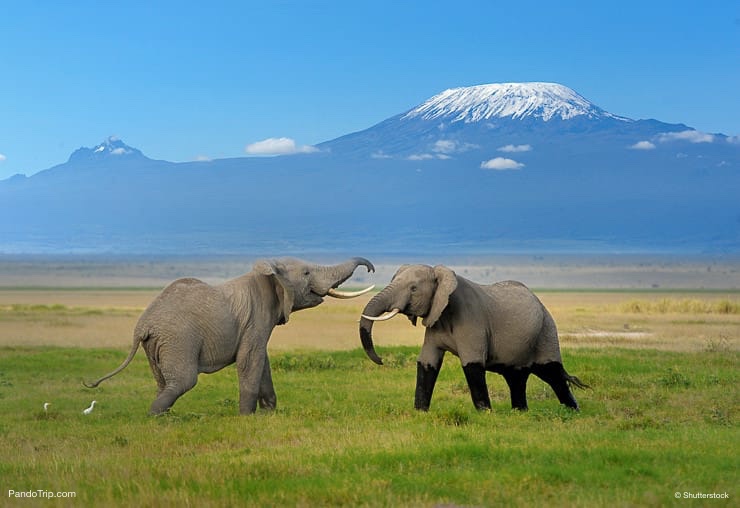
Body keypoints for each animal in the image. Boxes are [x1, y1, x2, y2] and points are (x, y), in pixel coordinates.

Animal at [86, 256, 376, 414]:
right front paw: (247, 417)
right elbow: (251, 361)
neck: (267, 273)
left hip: (157, 345)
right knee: (184, 381)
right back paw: (156, 417)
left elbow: (262, 362)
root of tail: (141, 327)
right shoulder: (256, 318)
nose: (371, 269)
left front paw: (269, 414)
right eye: (306, 273)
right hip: (177, 339)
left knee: (163, 382)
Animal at [360, 266, 588, 412]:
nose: (381, 360)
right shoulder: (435, 319)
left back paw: (573, 411)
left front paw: (485, 414)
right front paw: (420, 412)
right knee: (517, 377)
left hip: (546, 331)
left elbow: (472, 365)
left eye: (413, 288)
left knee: (552, 373)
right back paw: (520, 412)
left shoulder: (472, 320)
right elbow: (427, 363)